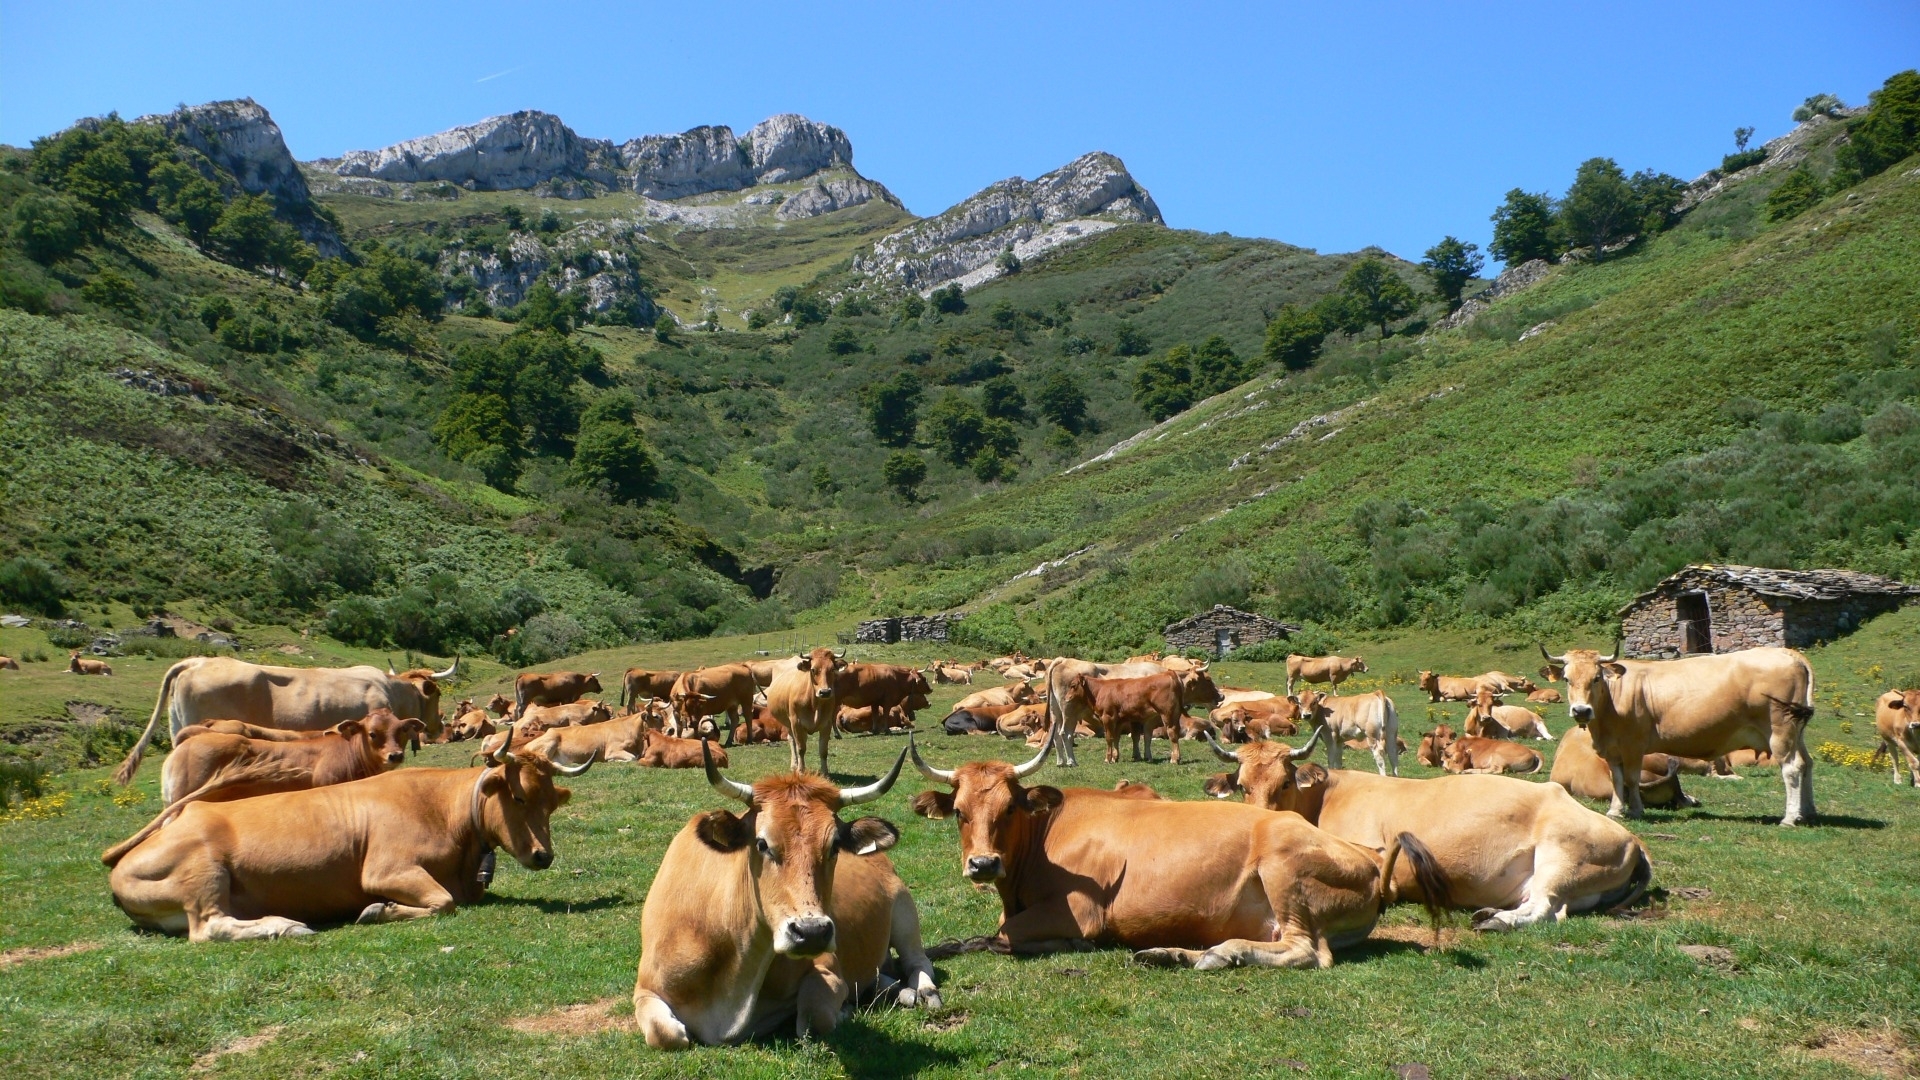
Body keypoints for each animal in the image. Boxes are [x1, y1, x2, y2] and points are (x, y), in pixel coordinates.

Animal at [104, 731, 592, 940]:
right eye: (519, 796)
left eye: (551, 803)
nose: (543, 855)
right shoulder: (385, 870)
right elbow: (442, 902)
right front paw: (379, 910)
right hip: (203, 871)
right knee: (208, 928)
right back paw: (287, 927)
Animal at [631, 743, 937, 1048]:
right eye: (762, 843)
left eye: (835, 845)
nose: (811, 932)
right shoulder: (645, 989)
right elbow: (665, 1034)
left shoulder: (828, 969)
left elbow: (814, 1019)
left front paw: (844, 1011)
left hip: (905, 911)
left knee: (918, 961)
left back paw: (923, 992)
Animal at [907, 736, 1449, 968]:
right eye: (959, 812)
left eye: (1009, 809)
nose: (983, 863)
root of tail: (1371, 862)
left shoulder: (1078, 912)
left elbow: (997, 937)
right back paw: (1173, 953)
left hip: (1284, 871)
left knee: (1307, 952)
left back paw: (1219, 955)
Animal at [1202, 728, 1651, 931]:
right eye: (1242, 785)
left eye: (1283, 784)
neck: (1327, 795)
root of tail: (1630, 837)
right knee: (1547, 907)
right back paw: (1492, 913)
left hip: (1561, 857)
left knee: (1544, 908)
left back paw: (1495, 921)